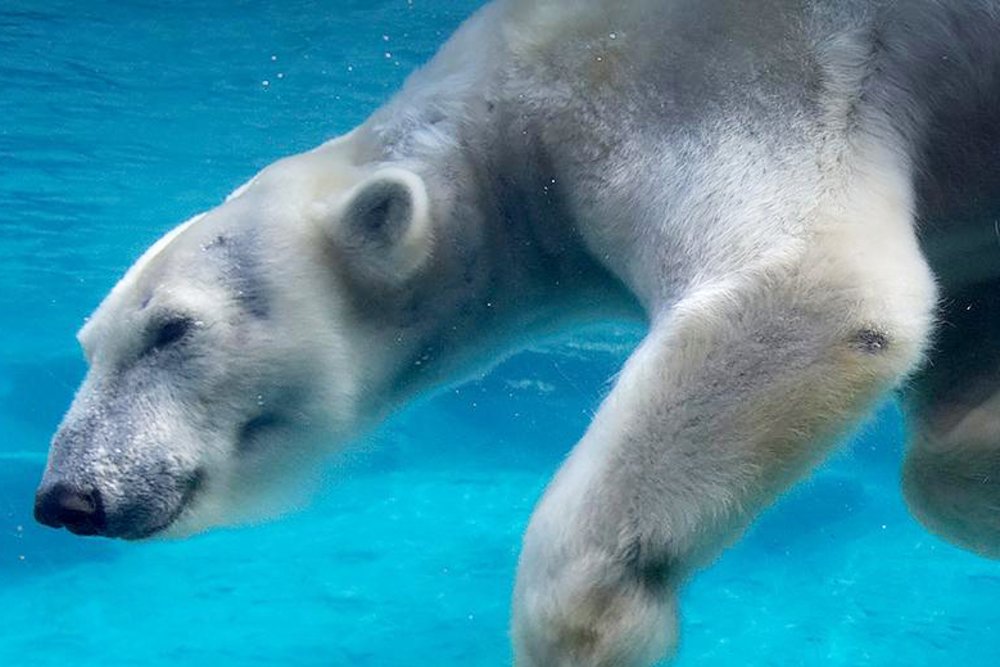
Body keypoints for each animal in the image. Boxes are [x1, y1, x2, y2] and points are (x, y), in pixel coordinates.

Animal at [34, 0, 1000, 665]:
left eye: (171, 329)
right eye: (90, 343)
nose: (66, 498)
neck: (516, 114)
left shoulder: (728, 75)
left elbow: (817, 288)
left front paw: (592, 625)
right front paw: (981, 456)